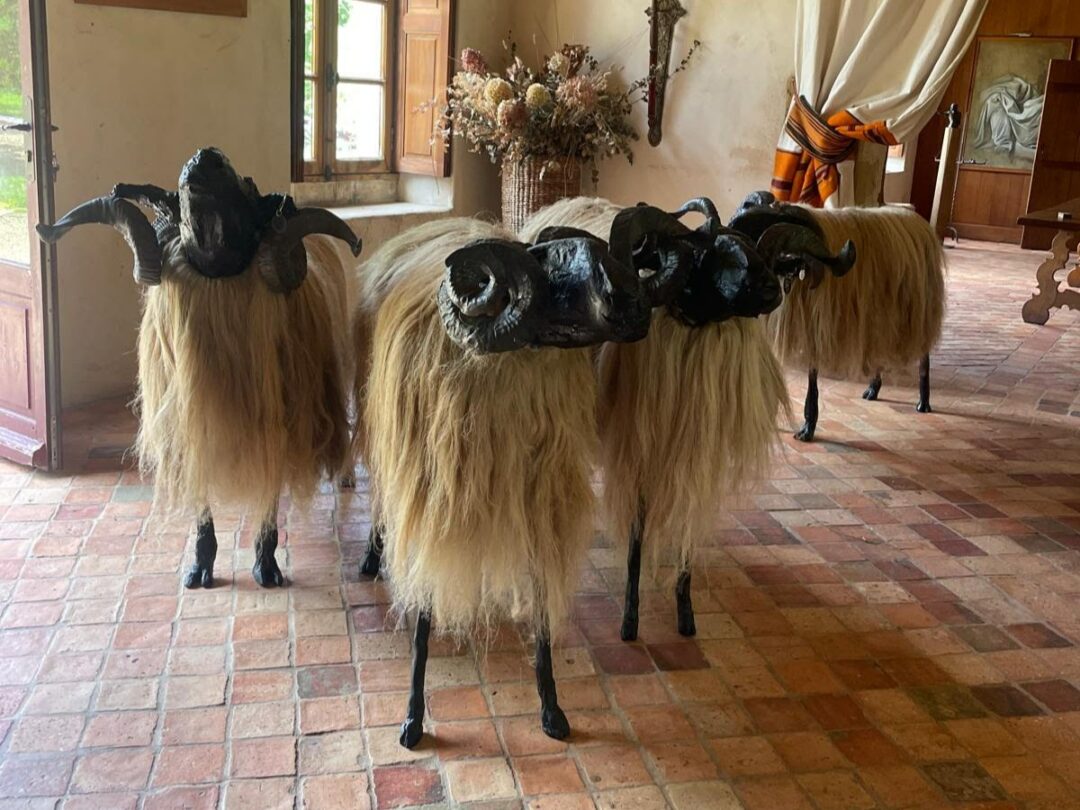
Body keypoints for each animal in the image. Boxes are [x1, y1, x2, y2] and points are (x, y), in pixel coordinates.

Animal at [37, 147, 362, 589]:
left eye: (248, 186)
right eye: (176, 198)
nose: (206, 156)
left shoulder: (275, 425)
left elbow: (269, 495)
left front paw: (267, 566)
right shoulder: (191, 426)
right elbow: (202, 505)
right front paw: (200, 567)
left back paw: (345, 477)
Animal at [351, 215, 657, 748]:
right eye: (556, 261)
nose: (634, 305)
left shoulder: (537, 498)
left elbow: (542, 602)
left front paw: (552, 708)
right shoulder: (433, 494)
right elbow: (423, 619)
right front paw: (412, 718)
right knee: (381, 501)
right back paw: (372, 555)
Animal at [519, 196, 851, 641]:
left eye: (755, 249)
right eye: (714, 255)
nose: (768, 289)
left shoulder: (698, 453)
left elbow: (688, 530)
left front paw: (685, 609)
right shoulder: (643, 446)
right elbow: (638, 535)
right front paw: (630, 621)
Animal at [729, 192, 946, 442]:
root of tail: (920, 223)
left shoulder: (816, 327)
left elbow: (812, 378)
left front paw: (808, 426)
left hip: (918, 308)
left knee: (924, 355)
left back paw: (924, 402)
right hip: (879, 311)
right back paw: (873, 389)